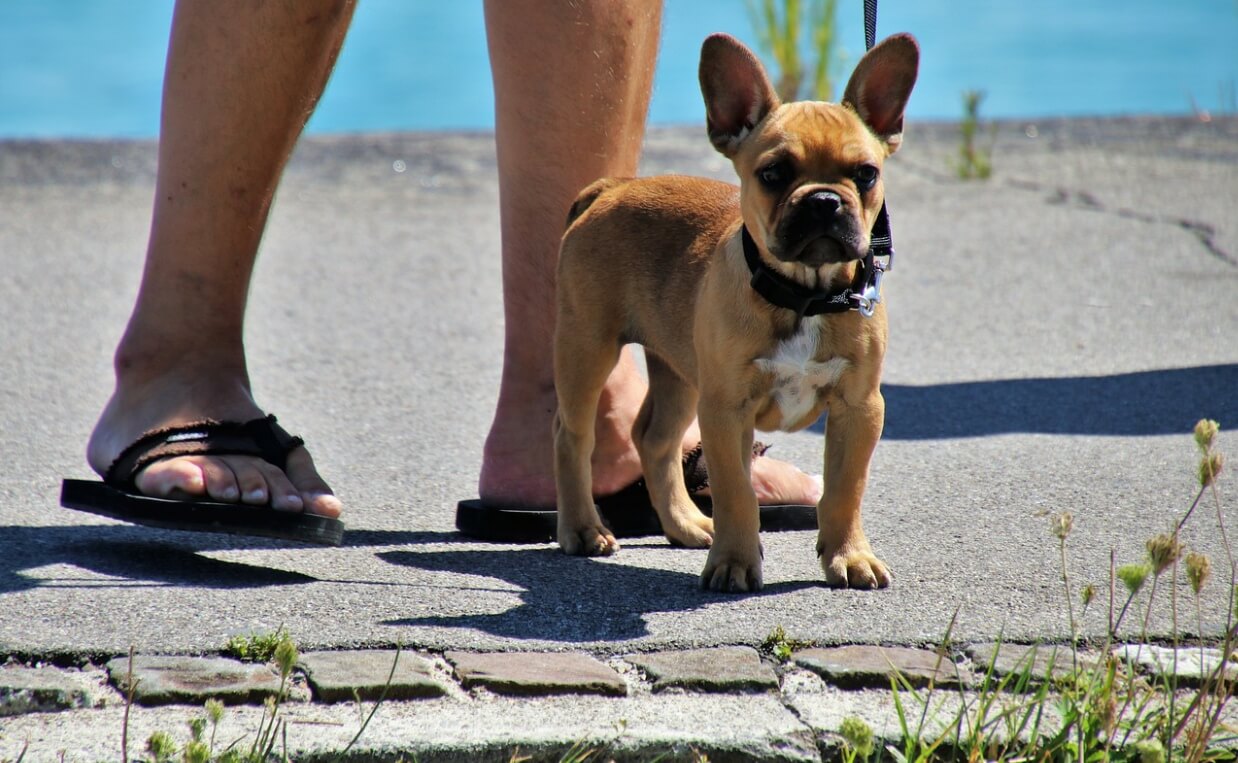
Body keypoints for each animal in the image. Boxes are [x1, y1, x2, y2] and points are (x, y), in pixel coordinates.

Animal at [552, 32, 921, 592]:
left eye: (866, 174)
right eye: (773, 173)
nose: (823, 201)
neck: (803, 294)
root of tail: (613, 187)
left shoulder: (860, 409)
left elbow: (844, 489)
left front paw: (850, 556)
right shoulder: (726, 410)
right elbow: (736, 493)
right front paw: (733, 563)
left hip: (680, 371)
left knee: (655, 441)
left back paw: (684, 524)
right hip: (586, 348)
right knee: (573, 435)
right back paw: (584, 529)